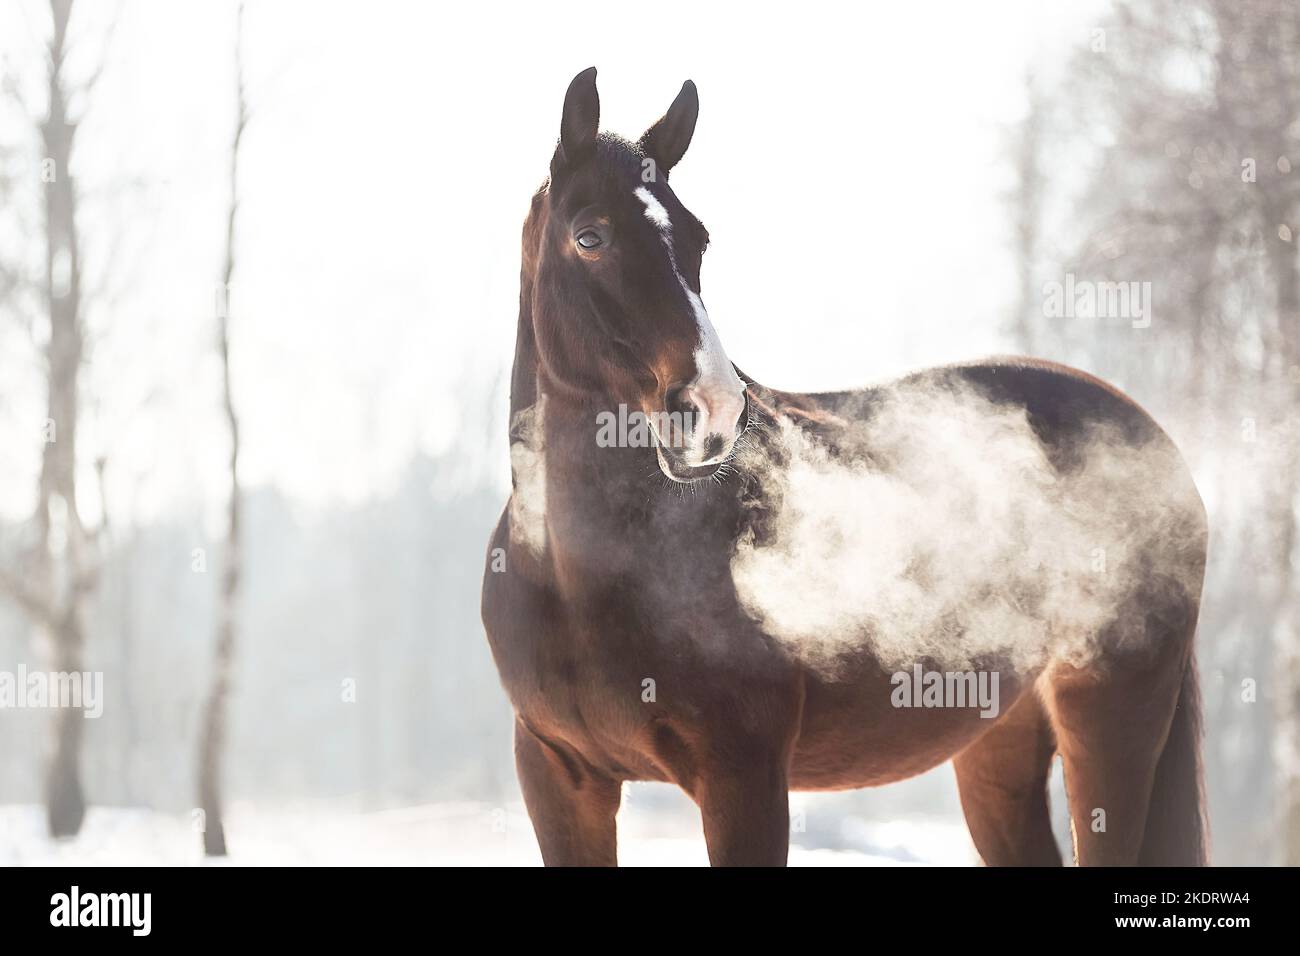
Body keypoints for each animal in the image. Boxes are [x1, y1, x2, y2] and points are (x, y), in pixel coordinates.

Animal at [481, 67, 1209, 867]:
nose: (712, 411)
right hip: (1000, 742)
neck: (586, 573)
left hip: (1109, 716)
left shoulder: (743, 777)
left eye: (699, 239)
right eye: (591, 236)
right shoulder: (559, 780)